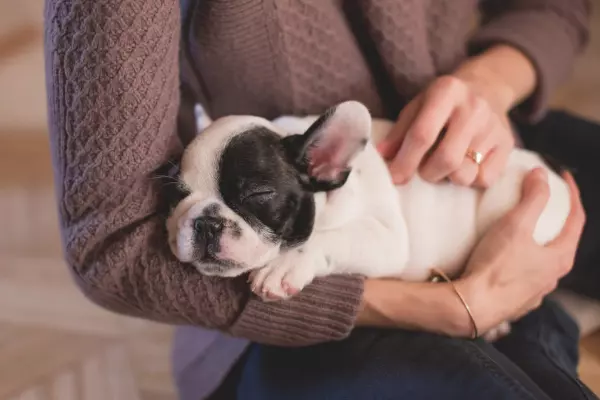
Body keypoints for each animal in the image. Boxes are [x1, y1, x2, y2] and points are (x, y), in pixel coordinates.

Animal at [166, 101, 568, 340]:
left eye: (257, 194)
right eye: (177, 194)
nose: (205, 222)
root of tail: (552, 169)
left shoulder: (387, 238)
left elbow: (329, 238)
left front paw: (284, 266)